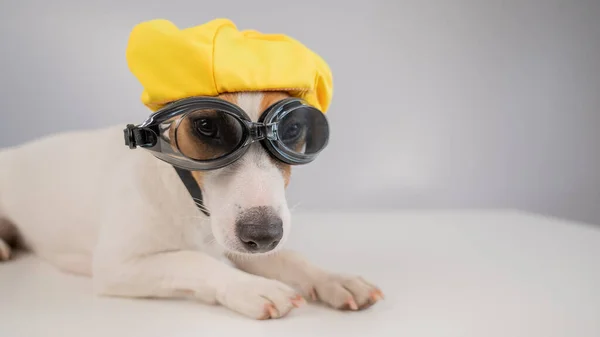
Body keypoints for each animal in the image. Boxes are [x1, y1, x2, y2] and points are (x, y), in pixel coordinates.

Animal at [0, 91, 384, 318]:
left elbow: (290, 258)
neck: (191, 202)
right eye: (205, 125)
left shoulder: (232, 236)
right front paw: (250, 286)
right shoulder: (117, 265)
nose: (263, 236)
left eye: (290, 130)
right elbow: (193, 260)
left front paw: (334, 278)